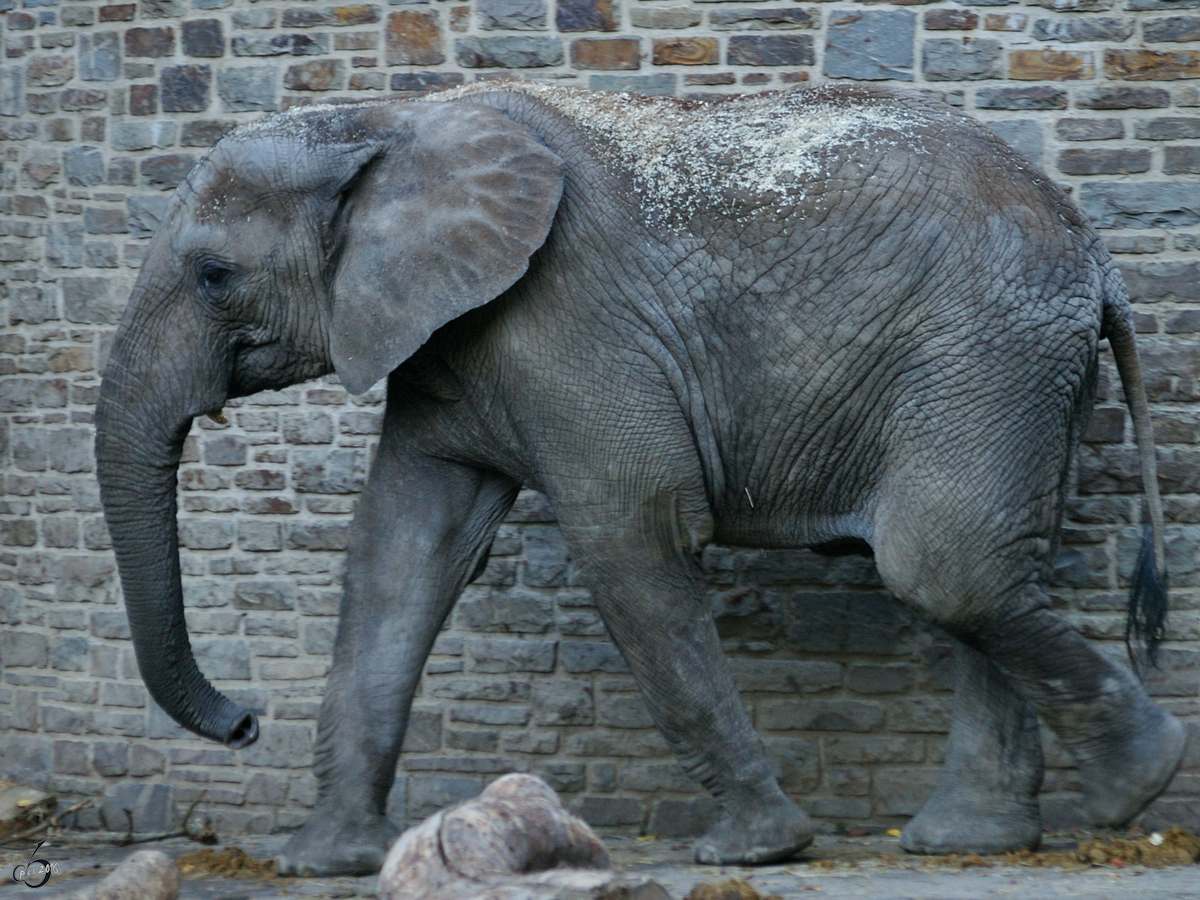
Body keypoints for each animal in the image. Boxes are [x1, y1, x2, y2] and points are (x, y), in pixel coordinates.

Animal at [93, 81, 1180, 878]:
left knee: (943, 566)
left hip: (987, 355)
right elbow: (400, 557)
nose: (243, 722)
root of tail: (1096, 251)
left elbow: (632, 536)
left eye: (212, 277)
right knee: (985, 569)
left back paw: (1136, 789)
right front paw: (320, 864)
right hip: (1017, 372)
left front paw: (758, 850)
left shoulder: (569, 322)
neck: (386, 121)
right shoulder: (445, 347)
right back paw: (973, 839)